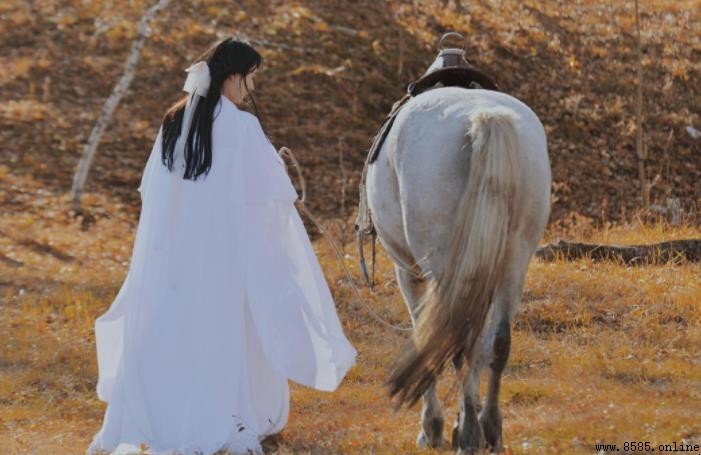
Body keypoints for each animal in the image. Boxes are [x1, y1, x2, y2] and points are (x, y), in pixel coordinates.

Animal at [364, 53, 551, 453]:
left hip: (438, 265)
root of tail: (485, 117)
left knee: (458, 339)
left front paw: (432, 426)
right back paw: (490, 429)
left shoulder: (408, 271)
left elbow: (424, 333)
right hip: (514, 260)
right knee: (497, 341)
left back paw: (466, 434)